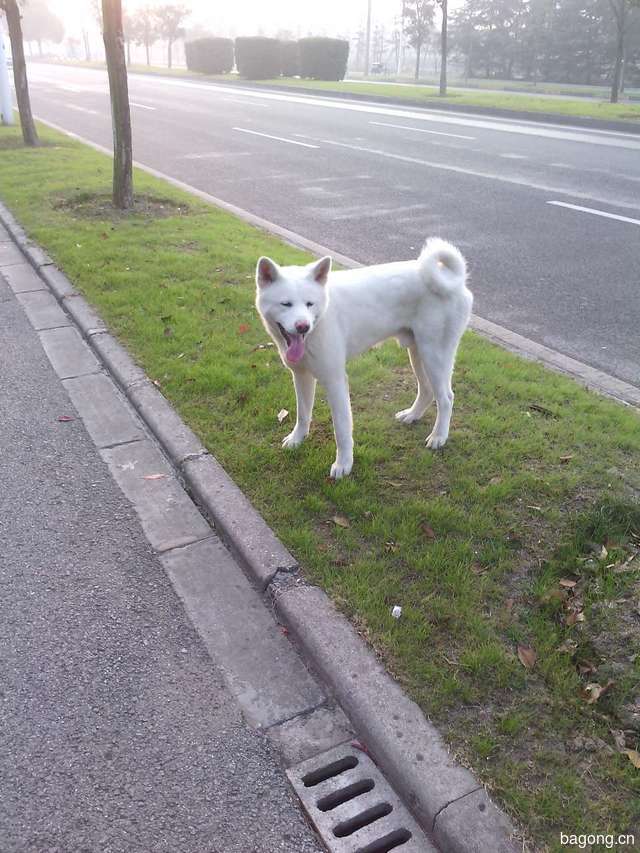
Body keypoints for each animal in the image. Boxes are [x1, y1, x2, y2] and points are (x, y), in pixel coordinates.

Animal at [254, 240, 470, 480]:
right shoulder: (301, 376)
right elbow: (303, 414)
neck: (318, 324)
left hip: (434, 355)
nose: (303, 326)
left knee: (446, 398)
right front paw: (297, 439)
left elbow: (341, 429)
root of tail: (455, 283)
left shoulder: (335, 381)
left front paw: (344, 464)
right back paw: (412, 415)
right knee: (427, 390)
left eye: (310, 304)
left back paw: (439, 436)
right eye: (286, 304)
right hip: (418, 354)